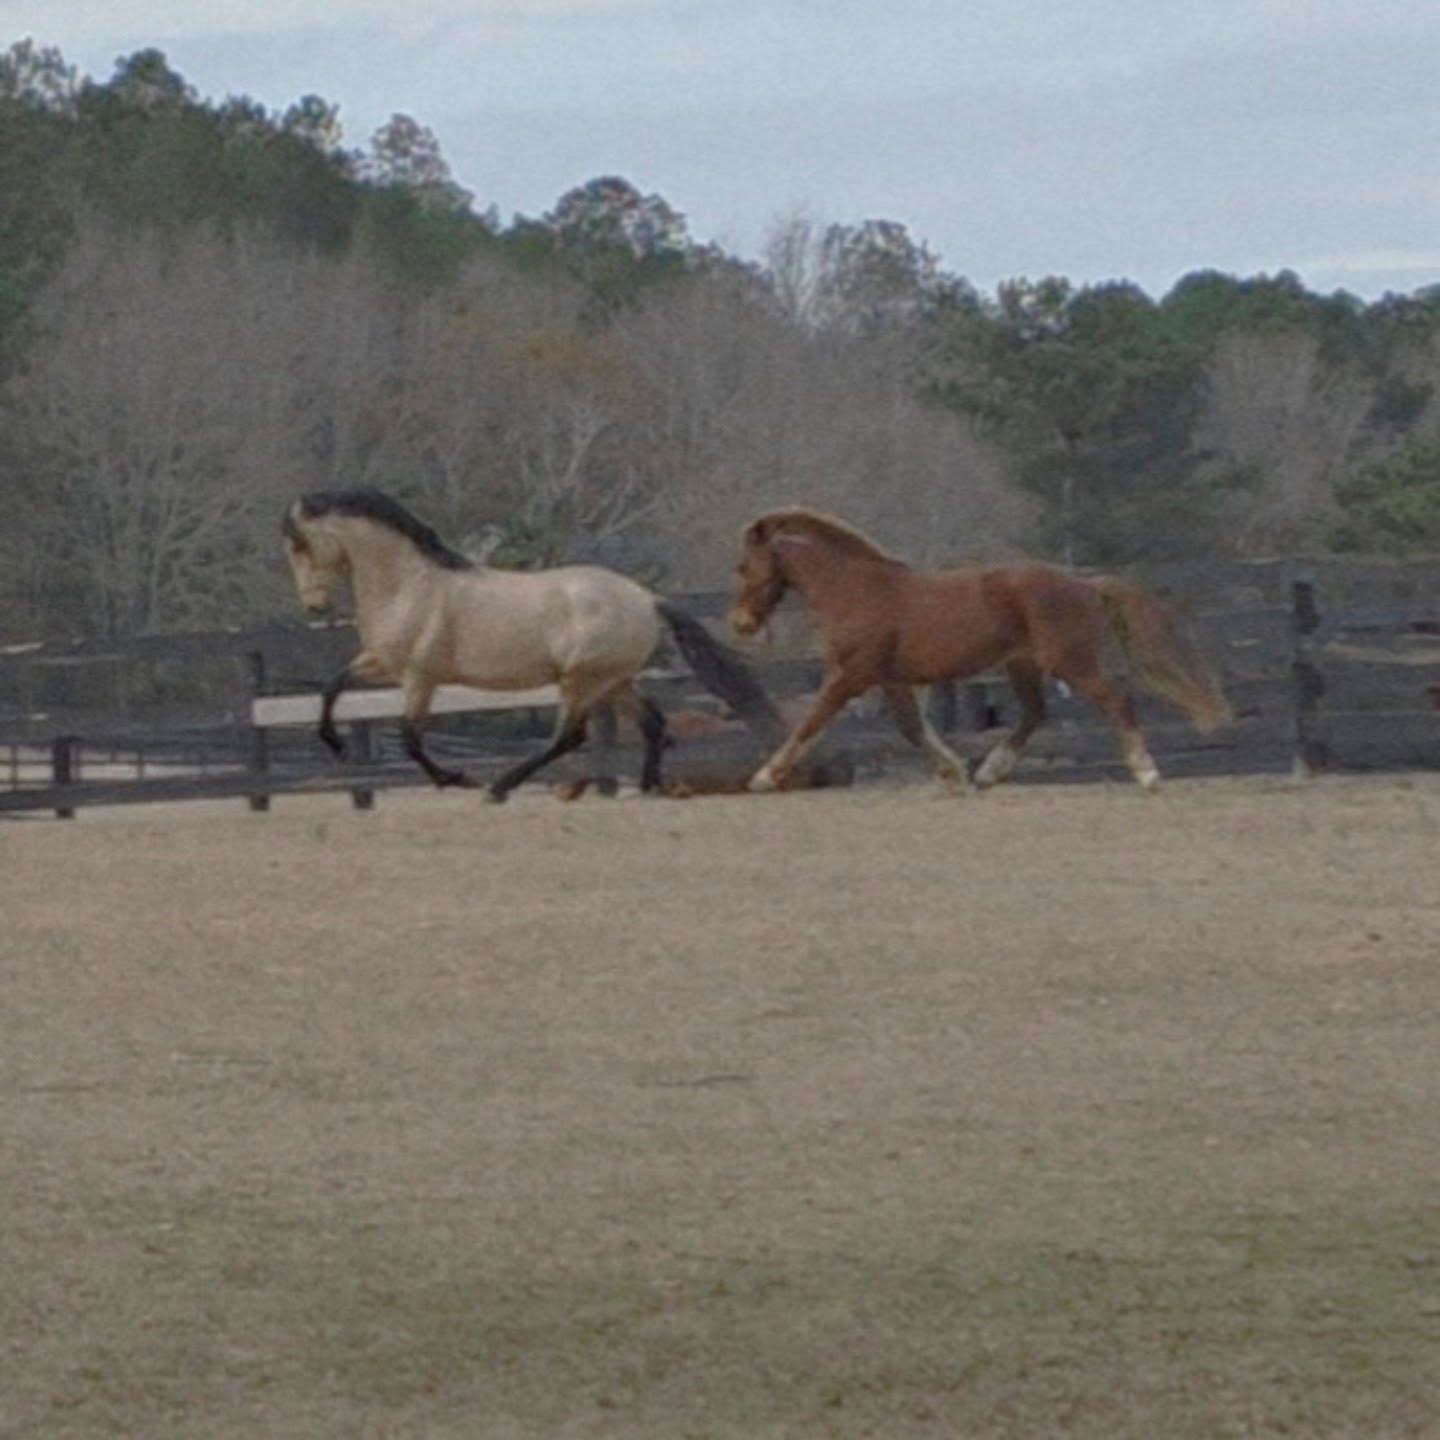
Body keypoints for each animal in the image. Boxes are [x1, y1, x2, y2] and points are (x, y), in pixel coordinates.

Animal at [282, 488, 784, 801]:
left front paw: (457, 779)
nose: (314, 606)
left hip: (582, 681)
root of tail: (646, 599)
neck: (409, 585)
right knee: (653, 724)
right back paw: (649, 786)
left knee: (570, 736)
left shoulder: (419, 677)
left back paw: (499, 787)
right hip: (615, 680)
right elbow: (331, 687)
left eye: (301, 545)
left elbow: (410, 740)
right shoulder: (382, 664)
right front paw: (335, 744)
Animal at [727, 507, 1232, 793]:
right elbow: (912, 728)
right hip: (1022, 665)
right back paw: (989, 773)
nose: (740, 623)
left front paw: (763, 778)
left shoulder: (852, 675)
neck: (854, 590)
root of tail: (1082, 583)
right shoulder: (891, 680)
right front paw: (953, 774)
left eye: (744, 566)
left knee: (1115, 699)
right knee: (1034, 714)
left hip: (1068, 660)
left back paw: (1147, 773)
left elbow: (810, 723)